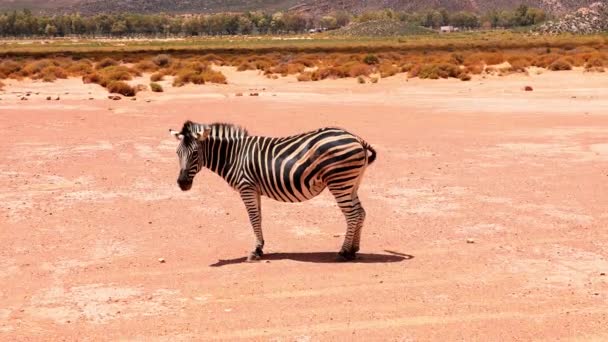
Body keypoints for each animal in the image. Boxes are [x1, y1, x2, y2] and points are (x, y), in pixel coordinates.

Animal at [170, 121, 376, 262]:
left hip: (339, 181)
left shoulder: (246, 187)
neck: (234, 156)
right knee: (361, 213)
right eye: (178, 153)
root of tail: (356, 138)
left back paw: (344, 252)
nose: (182, 183)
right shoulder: (255, 189)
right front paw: (260, 247)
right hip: (352, 182)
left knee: (352, 215)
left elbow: (253, 218)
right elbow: (258, 217)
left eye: (195, 154)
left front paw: (255, 251)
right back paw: (354, 250)